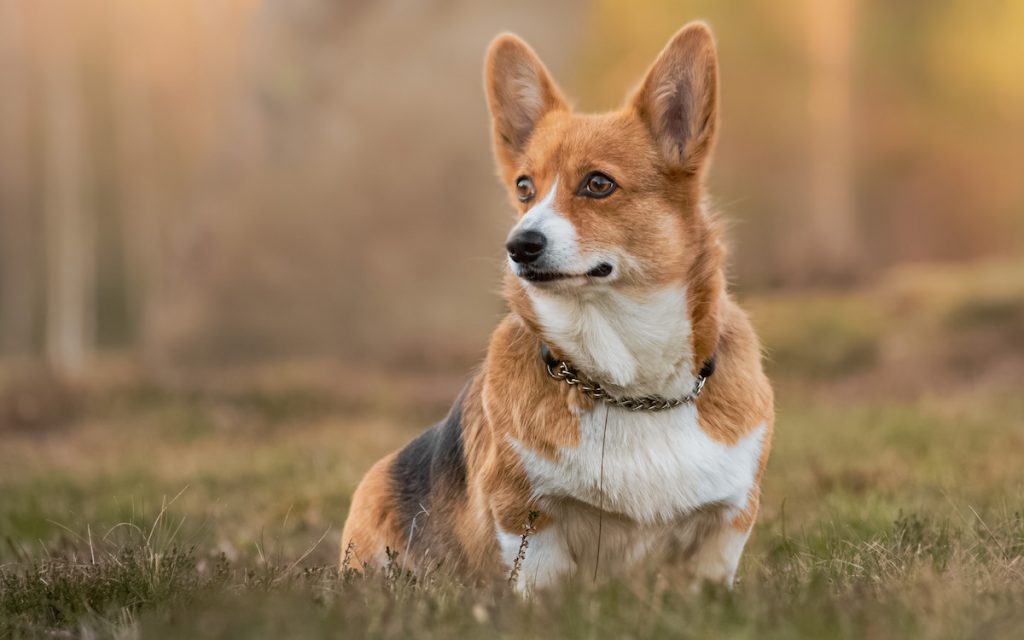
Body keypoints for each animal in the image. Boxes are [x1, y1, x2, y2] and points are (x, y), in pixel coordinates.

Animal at [339, 24, 770, 593]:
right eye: (525, 187)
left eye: (598, 183)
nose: (518, 246)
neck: (629, 388)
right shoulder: (526, 516)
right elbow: (537, 579)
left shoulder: (730, 519)